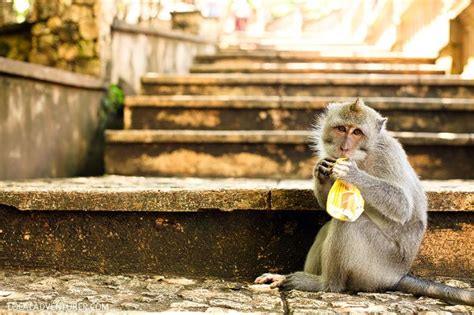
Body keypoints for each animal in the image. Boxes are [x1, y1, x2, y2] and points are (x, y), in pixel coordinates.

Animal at [256, 99, 474, 306]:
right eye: (341, 129)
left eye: (357, 132)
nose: (344, 147)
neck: (363, 155)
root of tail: (399, 276)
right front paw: (321, 170)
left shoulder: (387, 155)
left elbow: (402, 205)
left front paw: (351, 173)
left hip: (378, 266)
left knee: (349, 223)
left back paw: (325, 284)